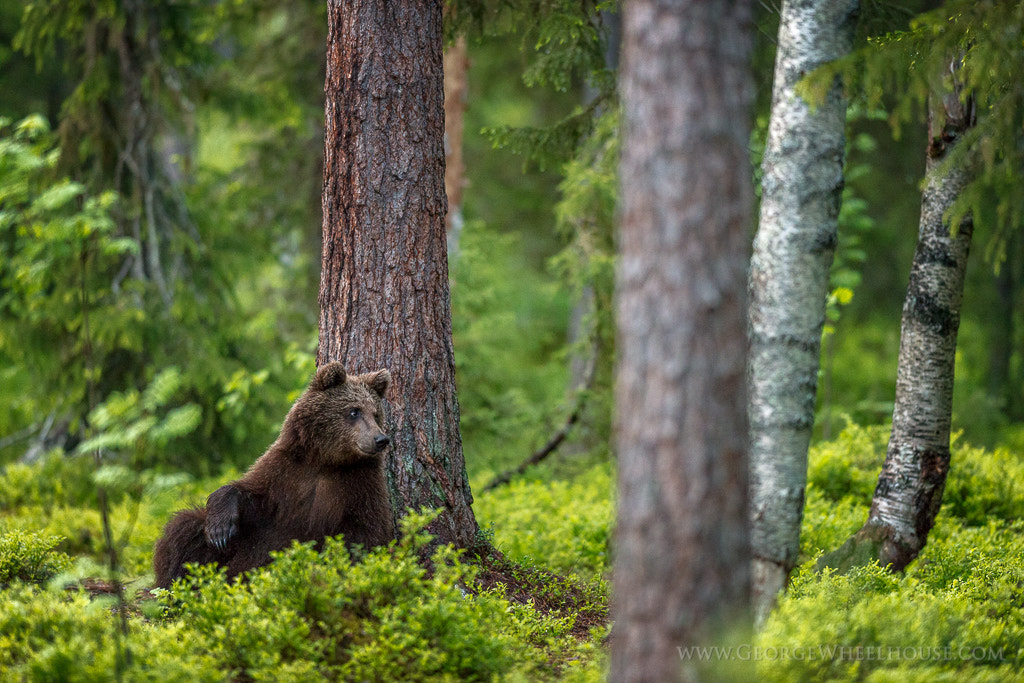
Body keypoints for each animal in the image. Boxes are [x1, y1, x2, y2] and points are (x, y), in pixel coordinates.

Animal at [153, 361, 395, 588]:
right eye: (354, 411)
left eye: (375, 414)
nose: (380, 439)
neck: (327, 461)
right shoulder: (284, 473)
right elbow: (249, 494)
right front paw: (219, 530)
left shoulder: (359, 485)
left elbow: (365, 533)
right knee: (184, 529)